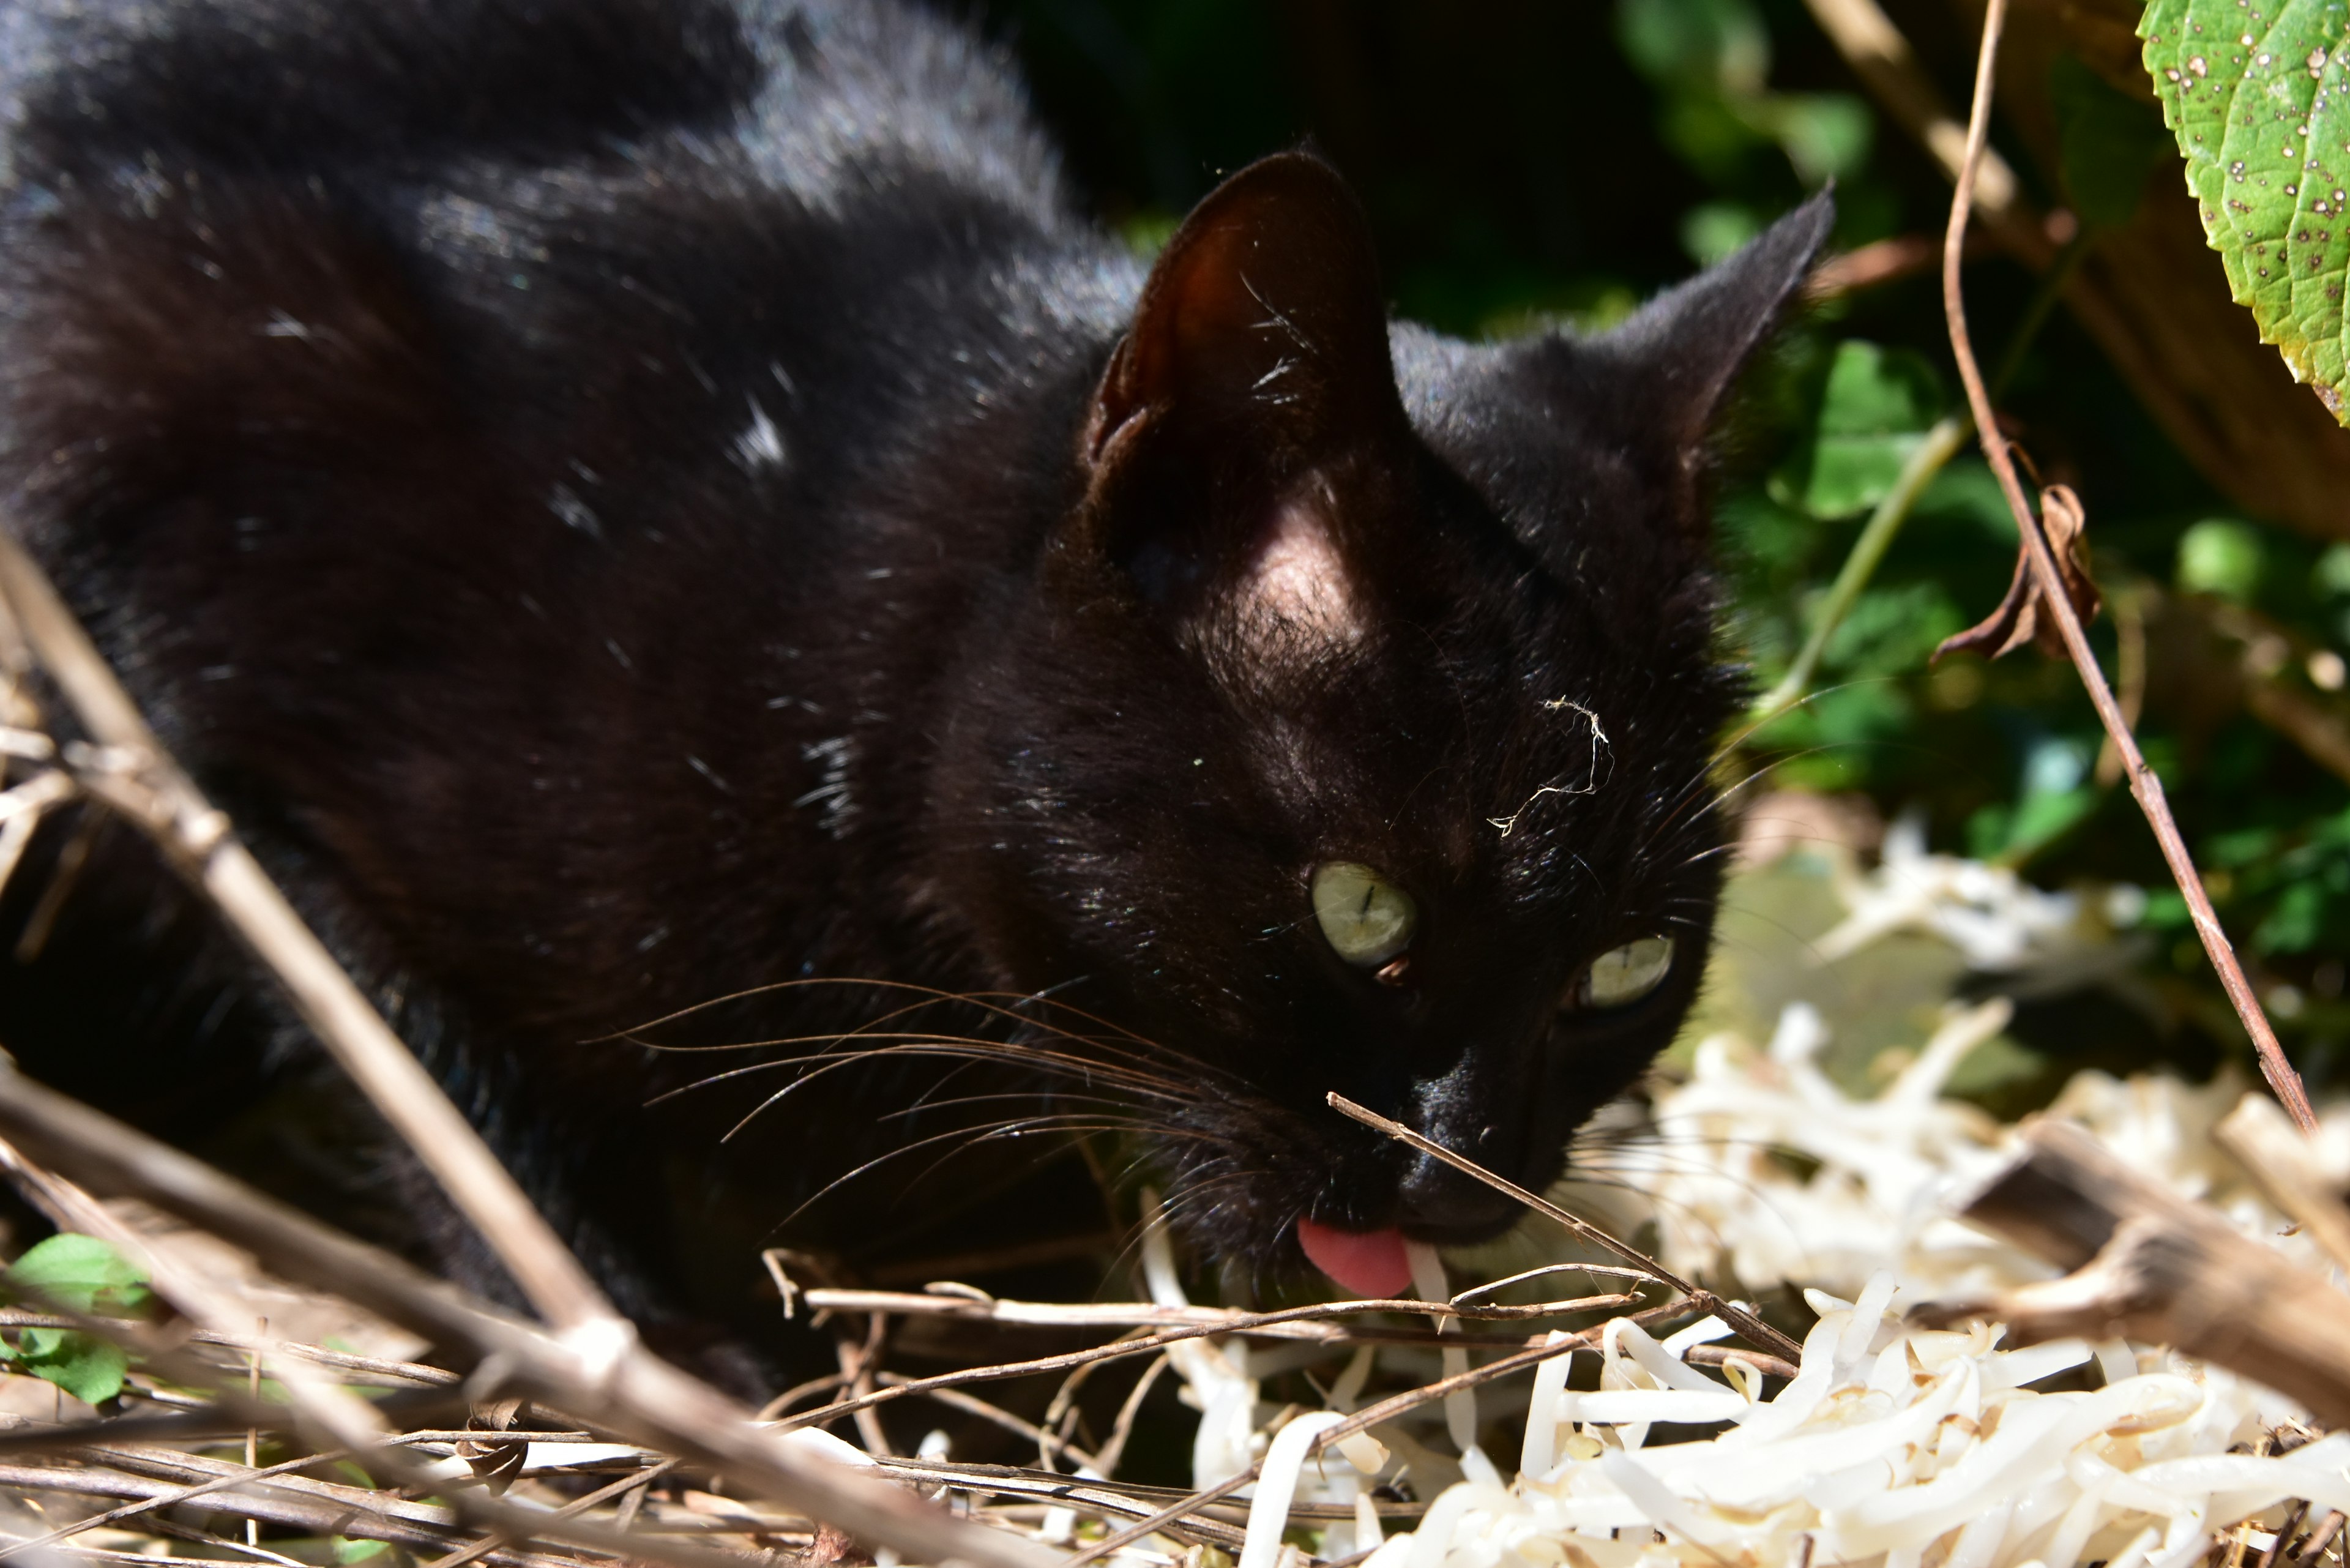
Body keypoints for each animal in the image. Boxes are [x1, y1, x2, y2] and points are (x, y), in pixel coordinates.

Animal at [0, 0, 1833, 1382]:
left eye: (1626, 966)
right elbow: (440, 1072)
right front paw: (653, 1350)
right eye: (1359, 908)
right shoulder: (184, 682)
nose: (1468, 1169)